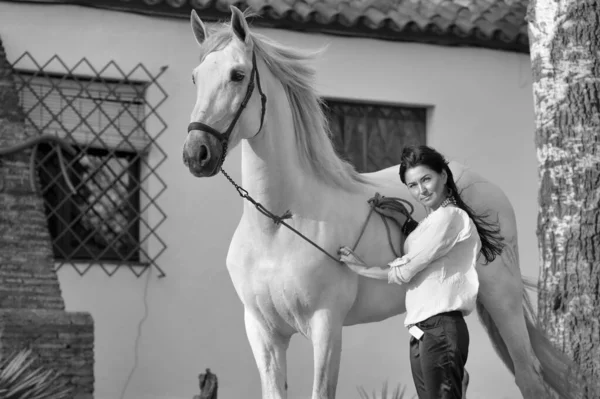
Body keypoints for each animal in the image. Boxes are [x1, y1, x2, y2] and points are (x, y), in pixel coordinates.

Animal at [184, 7, 584, 399]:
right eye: (195, 78)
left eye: (237, 75)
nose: (196, 154)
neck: (278, 223)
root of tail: (488, 187)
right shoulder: (263, 333)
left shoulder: (326, 326)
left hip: (503, 298)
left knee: (529, 379)